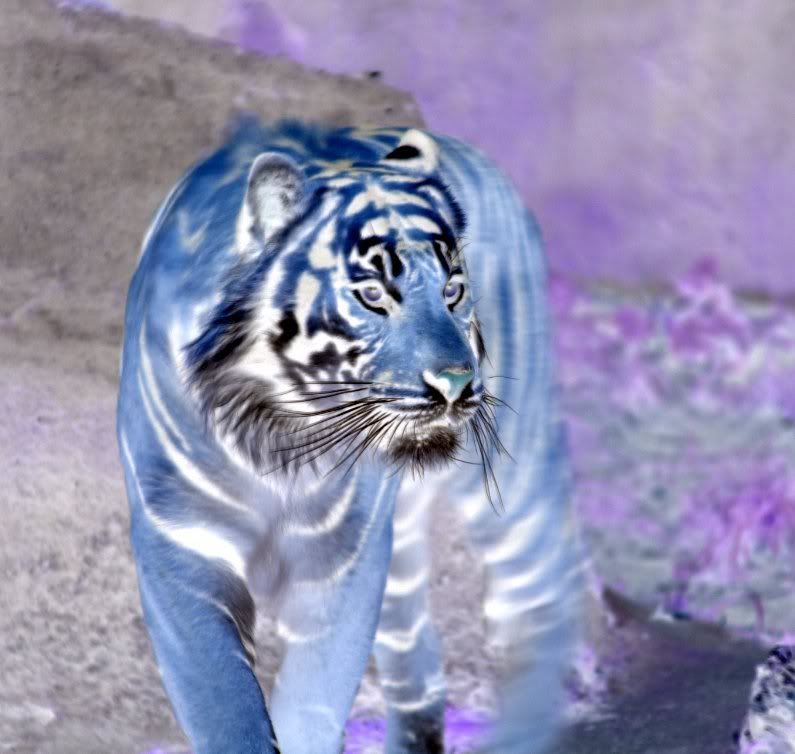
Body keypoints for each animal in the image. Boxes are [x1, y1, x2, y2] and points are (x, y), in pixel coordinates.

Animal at [116, 117, 585, 754]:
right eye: (373, 295)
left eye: (453, 290)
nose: (456, 383)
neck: (274, 438)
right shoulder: (182, 541)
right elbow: (223, 701)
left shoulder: (344, 561)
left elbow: (312, 703)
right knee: (421, 665)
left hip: (513, 481)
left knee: (540, 601)